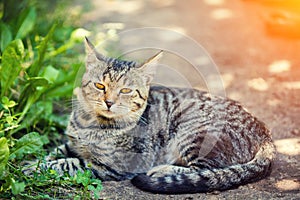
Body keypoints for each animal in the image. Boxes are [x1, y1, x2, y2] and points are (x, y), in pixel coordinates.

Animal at [24, 37, 276, 194]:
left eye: (125, 90)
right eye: (99, 85)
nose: (109, 102)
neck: (91, 124)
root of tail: (266, 134)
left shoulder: (110, 165)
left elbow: (67, 163)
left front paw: (31, 169)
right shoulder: (71, 144)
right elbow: (54, 152)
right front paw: (32, 162)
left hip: (193, 132)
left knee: (206, 171)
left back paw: (161, 170)